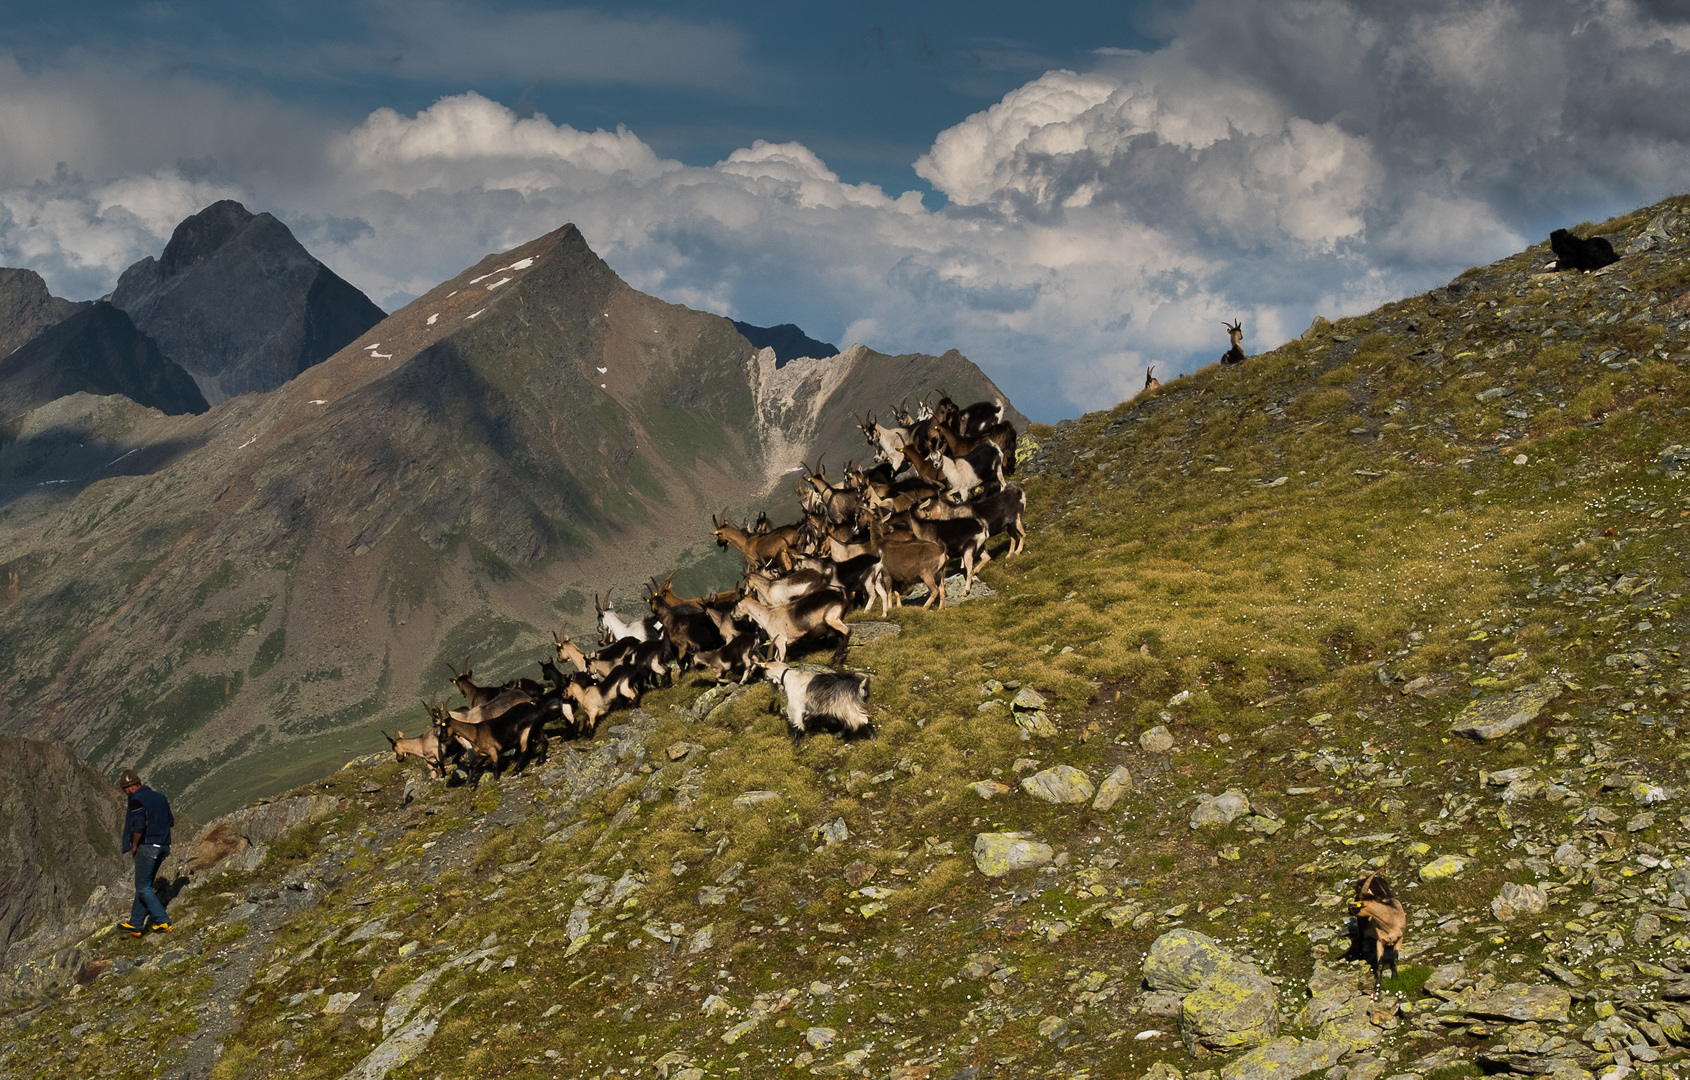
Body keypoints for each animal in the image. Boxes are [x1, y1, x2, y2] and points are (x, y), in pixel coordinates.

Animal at [1352, 872, 1406, 1000]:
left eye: (1358, 906)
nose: (1349, 909)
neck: (1390, 923)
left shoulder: (1399, 938)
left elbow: (1395, 959)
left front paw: (1394, 978)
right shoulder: (1380, 941)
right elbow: (1380, 964)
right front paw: (1377, 987)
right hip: (1361, 924)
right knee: (1360, 935)